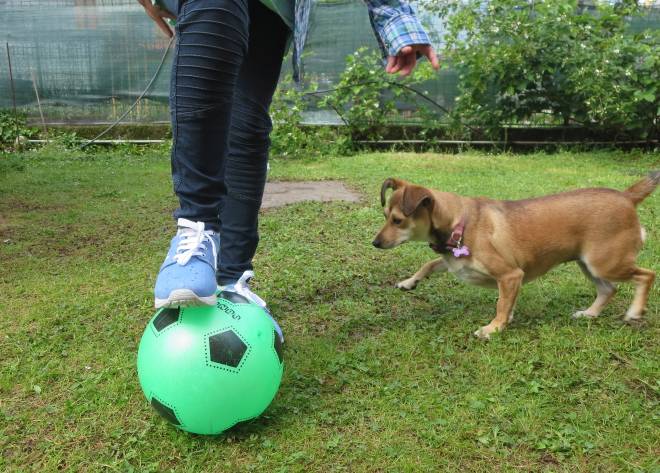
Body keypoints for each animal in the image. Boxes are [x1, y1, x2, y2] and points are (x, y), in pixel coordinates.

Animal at [374, 171, 656, 338]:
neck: (459, 223)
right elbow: (430, 264)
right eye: (385, 216)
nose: (375, 242)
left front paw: (494, 327)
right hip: (588, 264)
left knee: (647, 275)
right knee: (608, 290)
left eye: (397, 220)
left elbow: (501, 304)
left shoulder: (509, 275)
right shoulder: (455, 262)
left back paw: (635, 311)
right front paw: (409, 282)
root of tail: (627, 196)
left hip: (606, 263)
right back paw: (590, 314)